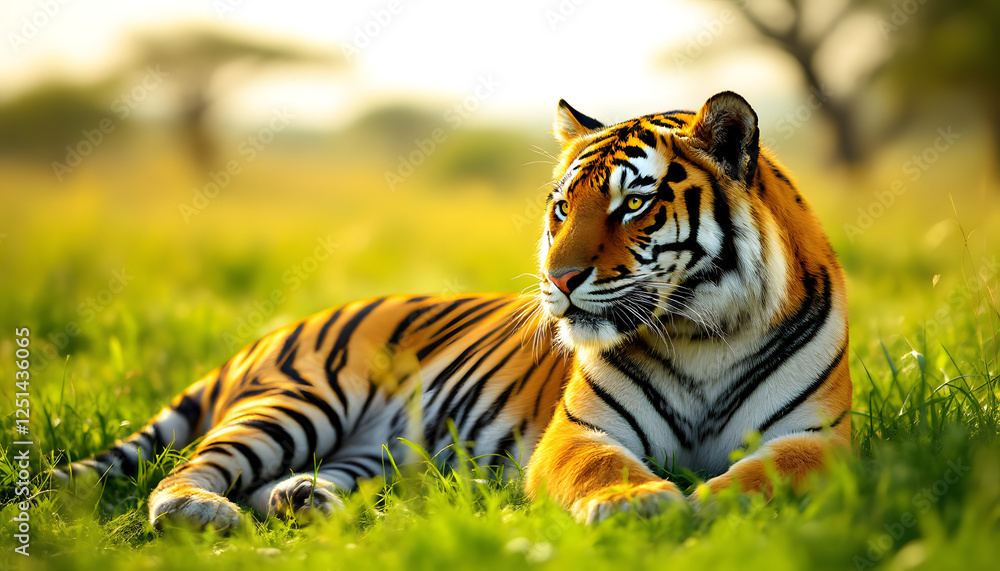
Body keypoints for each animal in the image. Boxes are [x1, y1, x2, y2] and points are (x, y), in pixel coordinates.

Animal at [53, 91, 851, 529]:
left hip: (373, 450)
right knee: (192, 467)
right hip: (300, 401)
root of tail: (274, 331)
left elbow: (770, 472)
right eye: (562, 208)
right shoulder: (580, 432)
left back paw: (304, 501)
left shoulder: (819, 437)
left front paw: (714, 501)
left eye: (633, 204)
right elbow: (604, 469)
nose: (558, 278)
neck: (703, 333)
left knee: (285, 481)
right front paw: (642, 504)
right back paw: (198, 511)